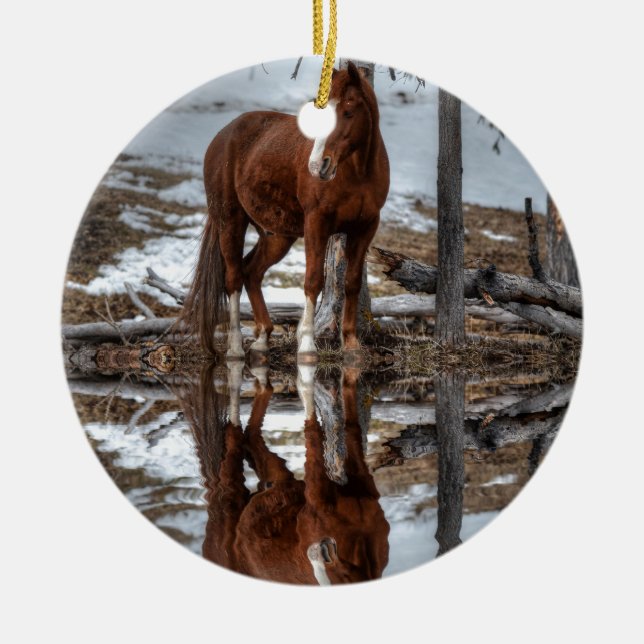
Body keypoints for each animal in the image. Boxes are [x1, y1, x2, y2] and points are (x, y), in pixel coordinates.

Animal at [180, 61, 390, 360]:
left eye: (348, 112)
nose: (318, 166)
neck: (358, 173)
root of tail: (224, 135)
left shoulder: (366, 227)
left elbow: (351, 282)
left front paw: (351, 344)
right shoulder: (317, 223)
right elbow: (313, 281)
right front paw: (307, 346)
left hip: (277, 236)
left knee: (251, 272)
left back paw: (263, 338)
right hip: (230, 221)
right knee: (233, 277)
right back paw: (235, 346)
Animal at [183, 364, 390, 585]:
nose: (324, 550)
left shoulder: (359, 479)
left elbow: (351, 422)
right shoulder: (320, 493)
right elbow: (317, 430)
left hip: (275, 480)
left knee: (250, 431)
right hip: (237, 492)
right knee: (236, 435)